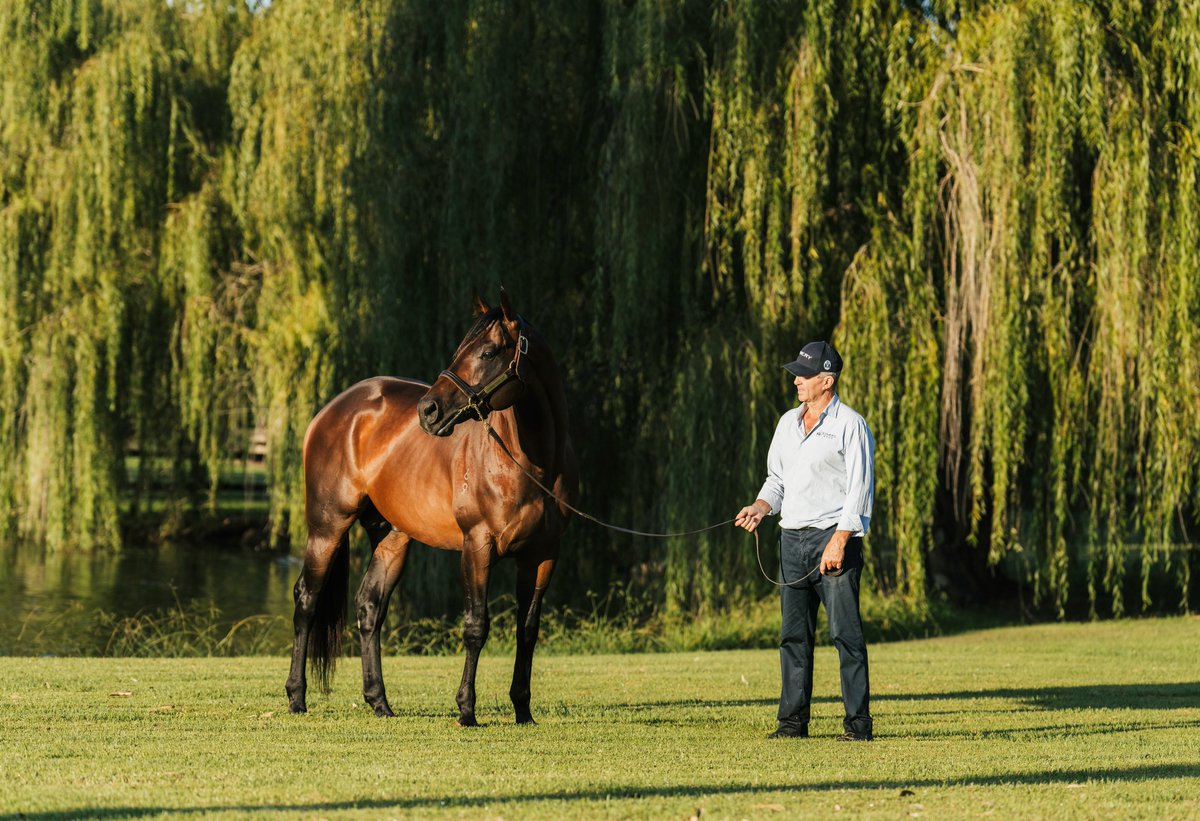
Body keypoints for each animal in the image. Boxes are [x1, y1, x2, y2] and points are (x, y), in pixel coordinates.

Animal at [284, 289, 577, 725]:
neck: (531, 462)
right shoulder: (477, 545)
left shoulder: (543, 554)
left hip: (392, 537)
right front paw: (466, 710)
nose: (429, 411)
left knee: (369, 608)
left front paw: (523, 709)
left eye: (488, 352)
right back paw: (296, 697)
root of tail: (333, 410)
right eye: (460, 350)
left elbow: (527, 629)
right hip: (327, 527)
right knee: (307, 600)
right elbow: (476, 626)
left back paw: (379, 702)